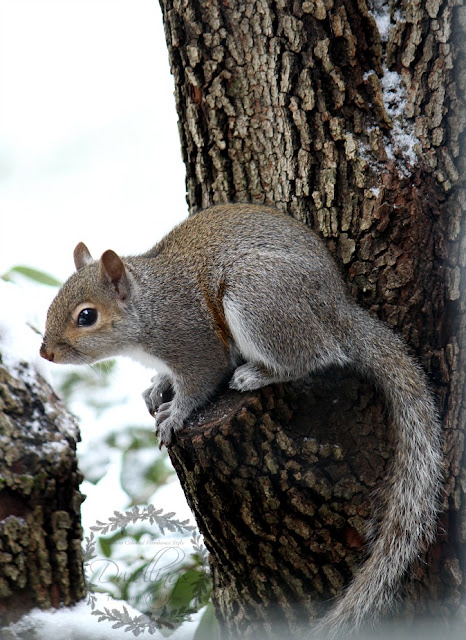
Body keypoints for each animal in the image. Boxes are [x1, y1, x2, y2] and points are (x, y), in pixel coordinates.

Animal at [41, 204, 442, 636]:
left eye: (86, 316)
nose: (45, 353)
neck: (148, 307)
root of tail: (338, 310)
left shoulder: (194, 344)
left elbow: (201, 382)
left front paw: (174, 416)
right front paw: (157, 387)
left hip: (258, 298)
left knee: (315, 355)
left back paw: (257, 374)